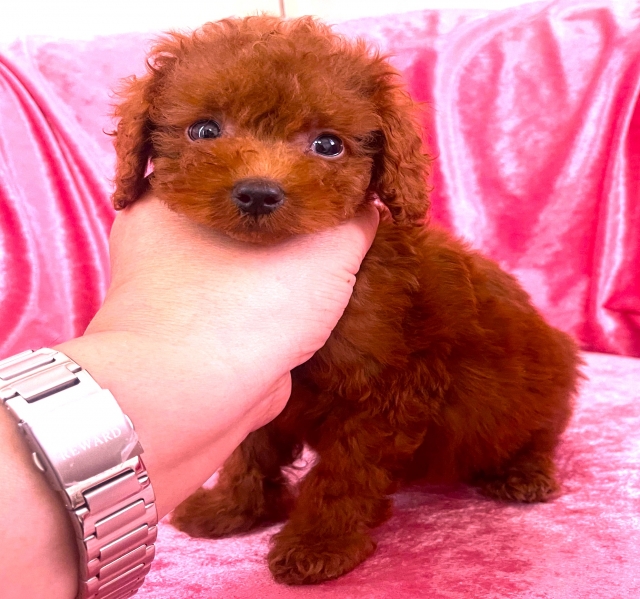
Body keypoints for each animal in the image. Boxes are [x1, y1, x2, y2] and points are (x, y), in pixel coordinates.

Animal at [111, 16, 581, 585]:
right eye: (204, 130)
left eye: (328, 144)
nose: (259, 193)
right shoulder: (266, 385)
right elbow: (249, 451)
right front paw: (235, 510)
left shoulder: (386, 394)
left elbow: (344, 474)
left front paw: (320, 544)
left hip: (544, 384)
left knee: (539, 432)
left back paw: (524, 473)